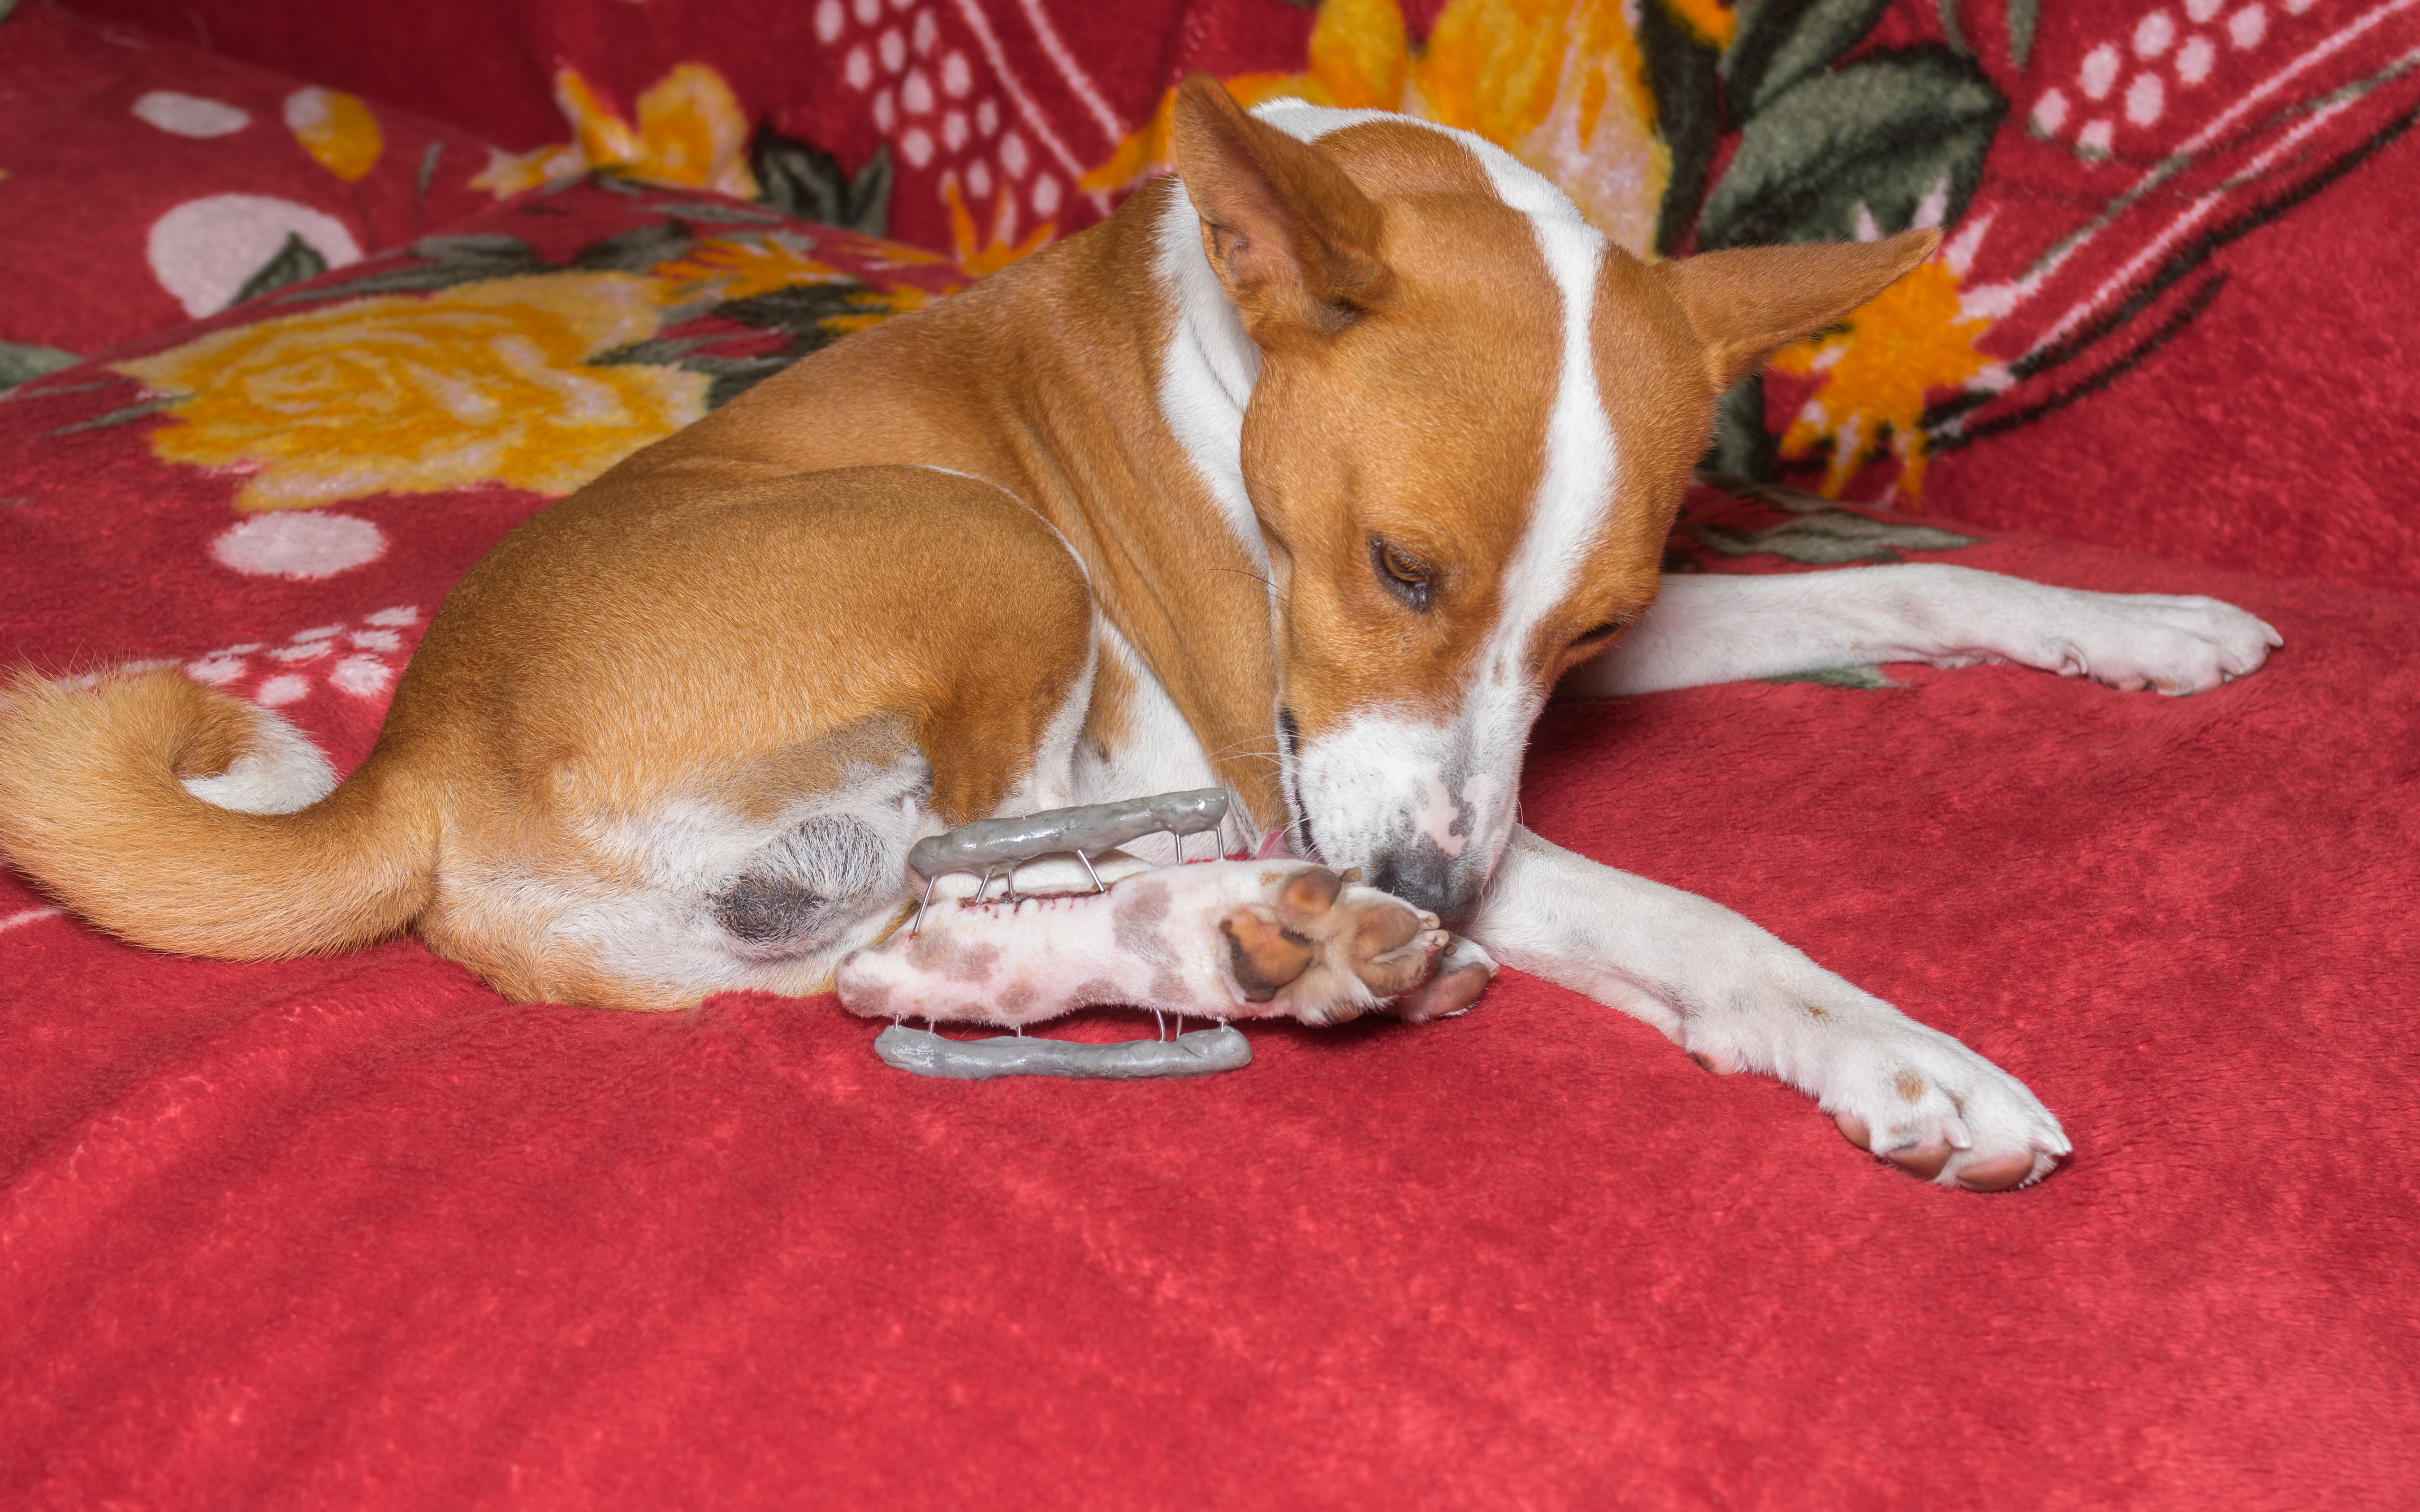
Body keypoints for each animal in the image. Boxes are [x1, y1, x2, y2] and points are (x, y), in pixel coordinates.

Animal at [4, 80, 2265, 1190]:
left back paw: (1244, 953)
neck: (1218, 362)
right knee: (961, 896)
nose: (1422, 880)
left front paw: (2135, 625)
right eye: (1397, 569)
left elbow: (1890, 584)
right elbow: (1699, 922)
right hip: (988, 549)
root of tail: (404, 771)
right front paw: (1900, 1055)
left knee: (891, 954)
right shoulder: (1295, 750)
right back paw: (1255, 941)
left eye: (1585, 629)